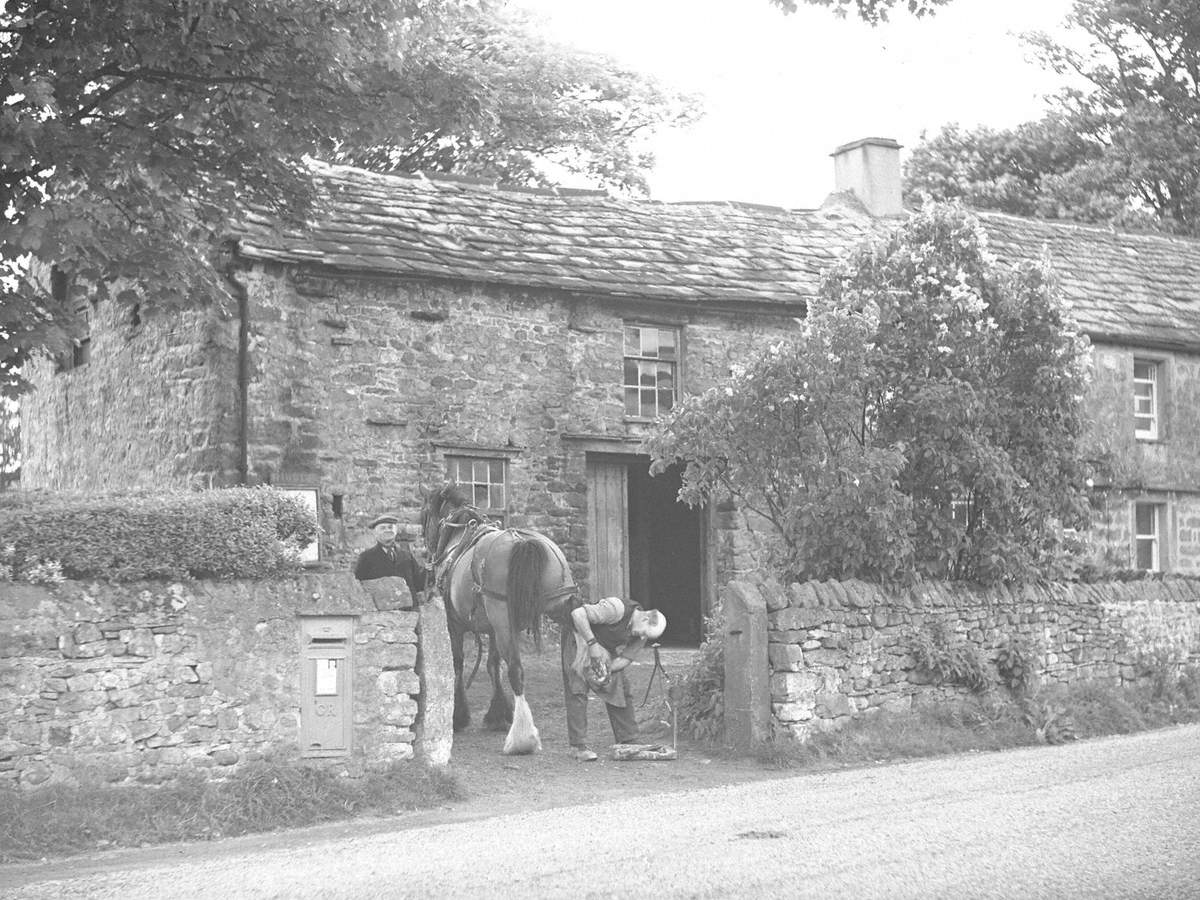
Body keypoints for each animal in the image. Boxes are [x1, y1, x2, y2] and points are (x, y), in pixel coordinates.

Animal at [417, 487, 576, 753]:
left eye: (424, 515)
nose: (426, 554)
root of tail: (521, 541)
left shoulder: (455, 624)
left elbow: (458, 663)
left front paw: (459, 716)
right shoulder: (492, 628)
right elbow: (493, 664)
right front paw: (498, 714)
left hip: (504, 618)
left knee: (516, 670)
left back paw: (521, 738)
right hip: (560, 606)